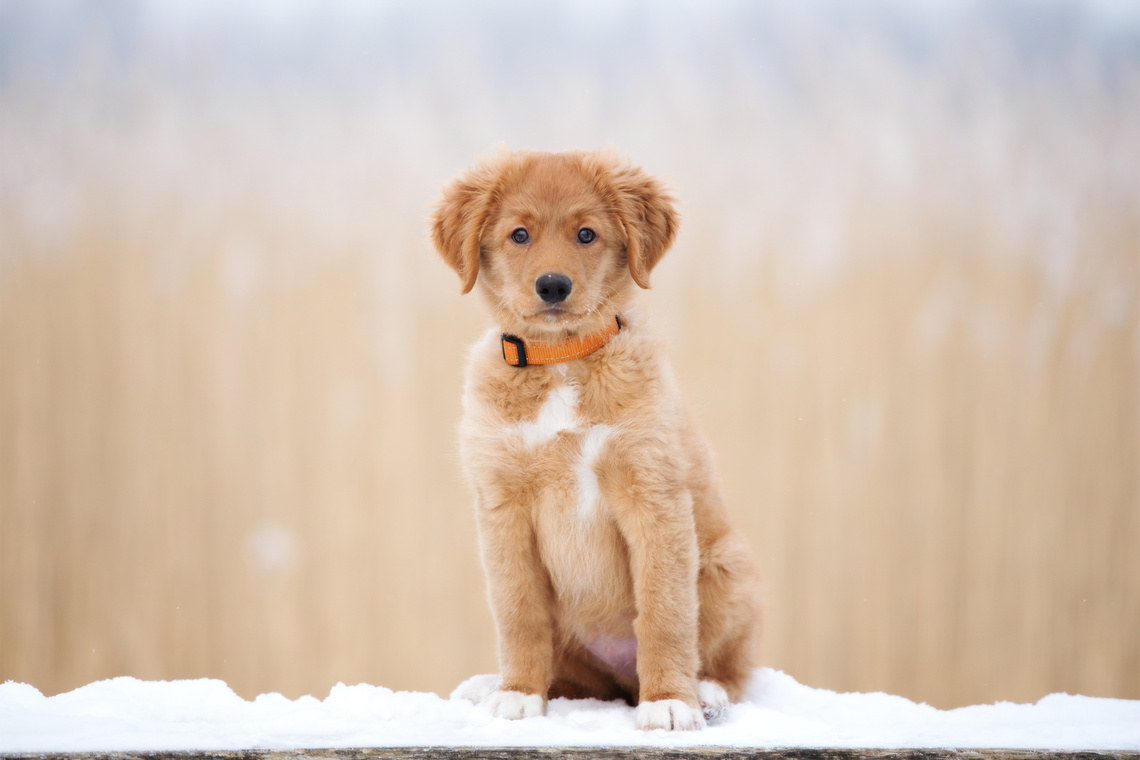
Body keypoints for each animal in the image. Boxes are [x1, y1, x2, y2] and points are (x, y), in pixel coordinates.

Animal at [430, 146, 761, 729]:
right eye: (519, 235)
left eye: (586, 234)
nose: (553, 286)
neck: (561, 357)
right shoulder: (502, 505)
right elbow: (518, 610)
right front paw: (517, 692)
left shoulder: (653, 494)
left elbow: (665, 612)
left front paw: (670, 702)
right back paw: (490, 683)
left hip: (729, 567)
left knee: (735, 668)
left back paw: (706, 692)